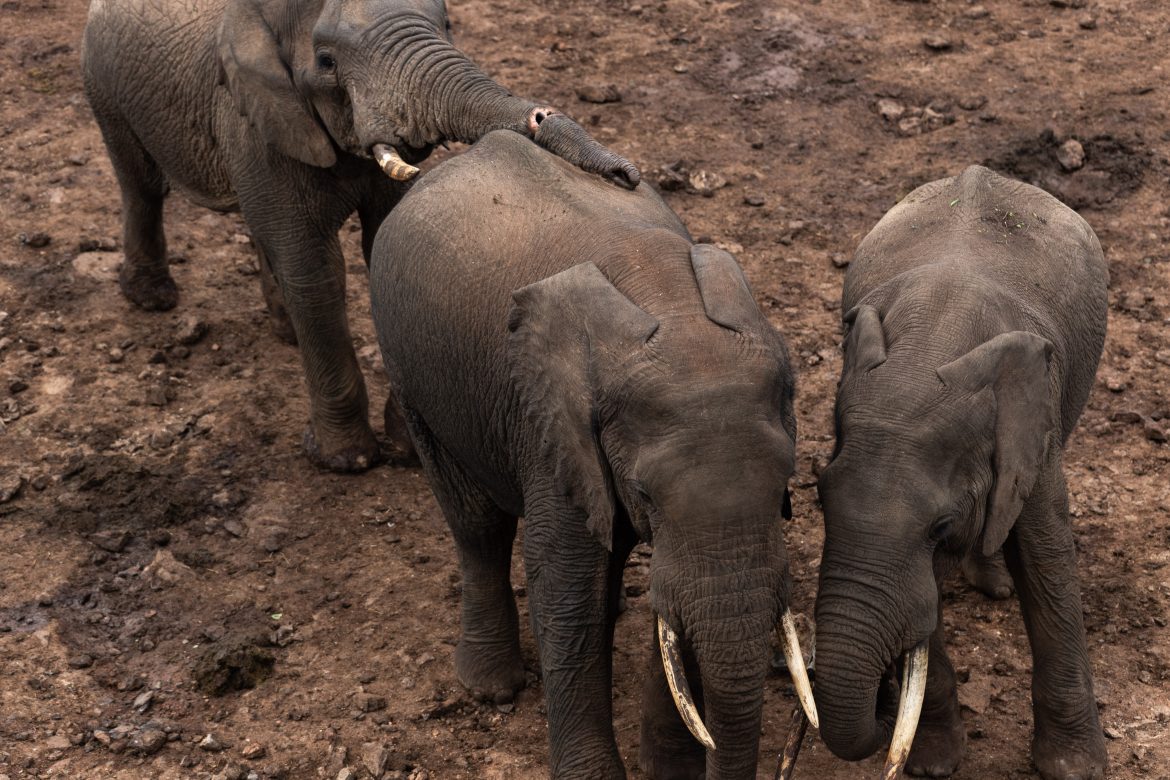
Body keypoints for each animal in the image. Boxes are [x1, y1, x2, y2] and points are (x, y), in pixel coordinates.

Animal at [80, 0, 641, 472]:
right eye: (326, 61)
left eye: (448, 24)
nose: (628, 175)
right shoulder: (260, 115)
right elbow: (315, 272)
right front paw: (344, 461)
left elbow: (379, 247)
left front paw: (406, 450)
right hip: (102, 82)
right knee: (141, 183)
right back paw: (152, 299)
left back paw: (283, 330)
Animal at [369, 130, 819, 776]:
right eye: (647, 493)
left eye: (786, 488)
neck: (670, 300)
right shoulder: (549, 427)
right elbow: (565, 584)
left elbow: (667, 600)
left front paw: (669, 769)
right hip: (409, 368)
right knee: (476, 523)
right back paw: (490, 688)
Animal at [814, 166, 1104, 780]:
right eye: (820, 502)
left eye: (941, 528)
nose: (881, 703)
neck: (926, 348)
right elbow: (922, 603)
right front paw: (932, 764)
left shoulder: (1037, 426)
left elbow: (1046, 557)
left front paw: (1075, 769)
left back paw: (995, 586)